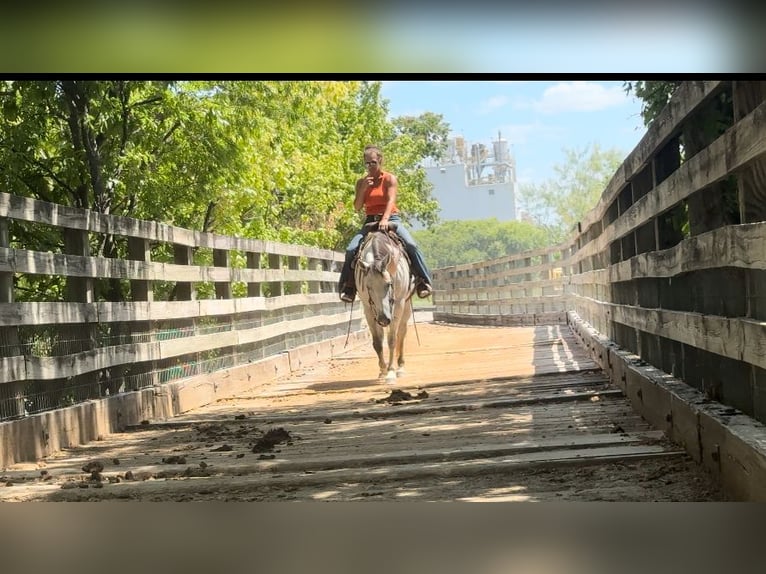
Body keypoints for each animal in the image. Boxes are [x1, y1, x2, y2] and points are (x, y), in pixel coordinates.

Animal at [354, 228, 414, 382]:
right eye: (368, 287)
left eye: (388, 284)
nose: (383, 319)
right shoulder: (368, 309)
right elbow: (377, 341)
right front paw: (382, 370)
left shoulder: (398, 305)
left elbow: (392, 340)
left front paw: (391, 372)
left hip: (406, 306)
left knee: (401, 333)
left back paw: (400, 367)